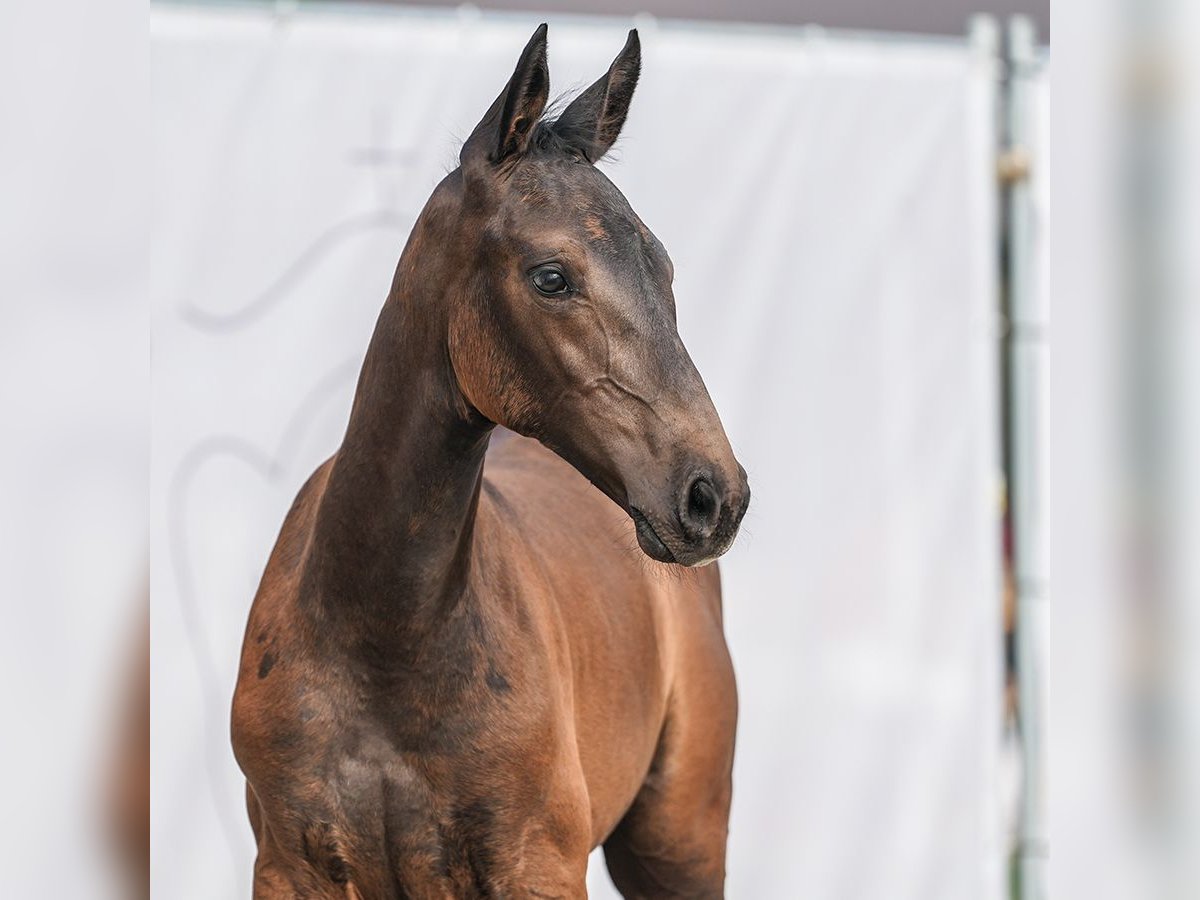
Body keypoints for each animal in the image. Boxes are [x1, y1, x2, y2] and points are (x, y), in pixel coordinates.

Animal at [229, 24, 744, 897]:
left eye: (665, 269)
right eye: (551, 276)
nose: (714, 496)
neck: (383, 639)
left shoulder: (538, 865)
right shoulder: (290, 870)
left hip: (681, 841)